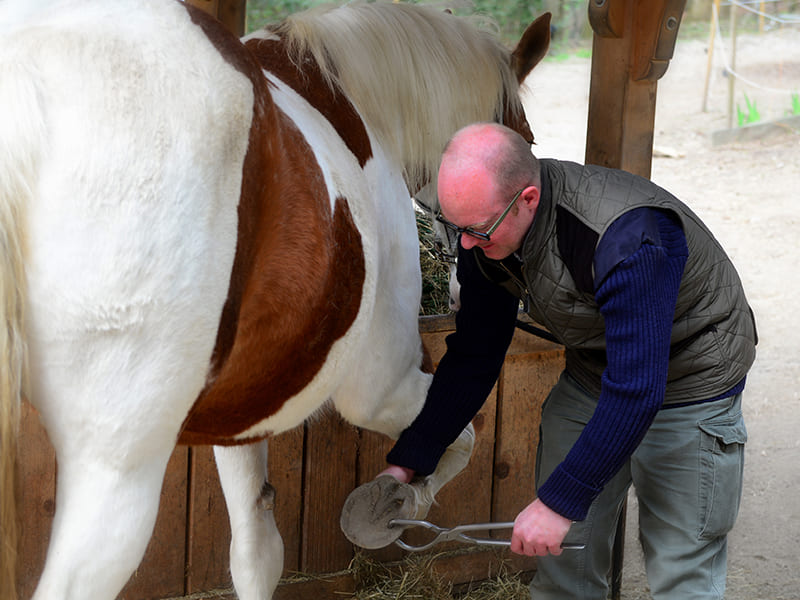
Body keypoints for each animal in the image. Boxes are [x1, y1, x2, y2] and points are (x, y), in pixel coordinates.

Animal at [0, 1, 548, 600]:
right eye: (528, 140)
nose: (480, 284)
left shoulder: (243, 403)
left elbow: (257, 551)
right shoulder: (378, 386)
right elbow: (458, 436)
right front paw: (400, 504)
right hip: (116, 470)